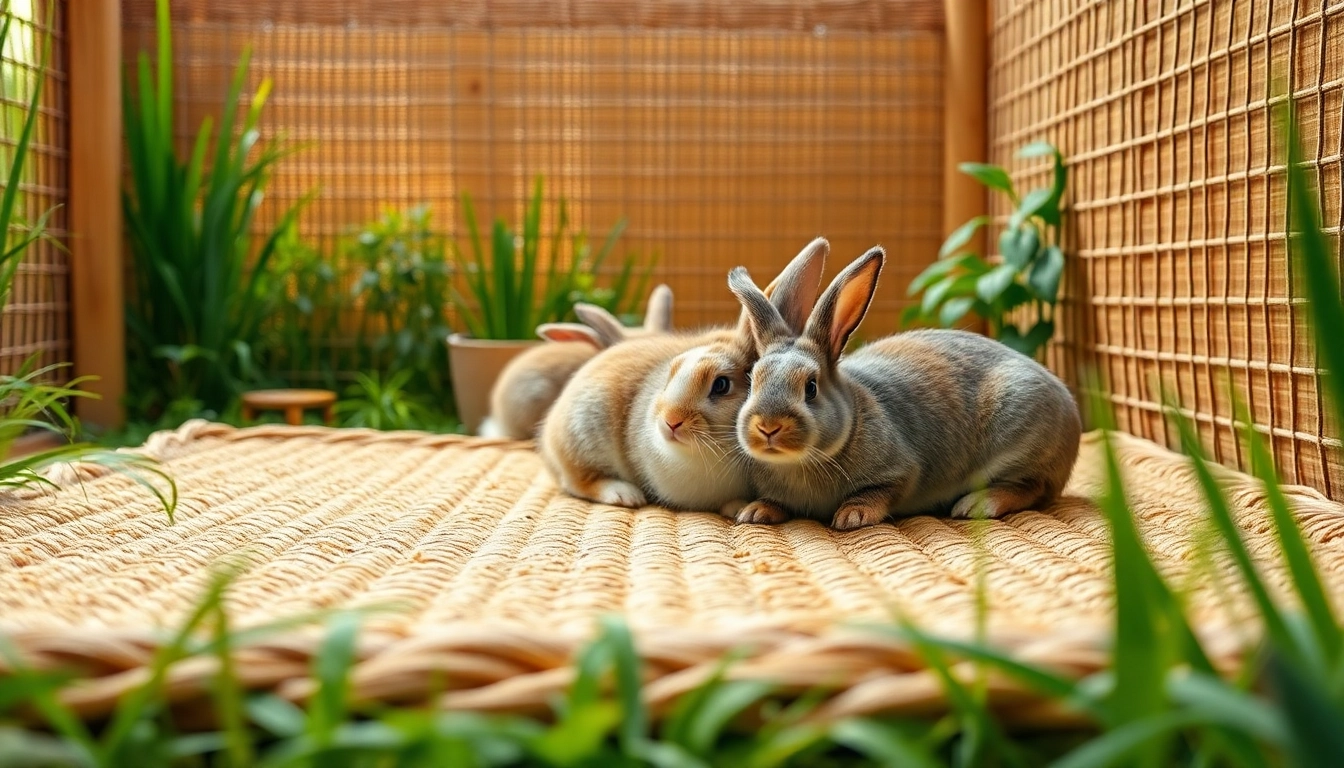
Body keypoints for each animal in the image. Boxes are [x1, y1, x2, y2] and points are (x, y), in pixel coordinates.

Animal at [540, 237, 830, 513]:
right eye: (672, 371)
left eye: (721, 385)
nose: (671, 421)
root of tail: (550, 433)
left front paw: (740, 507)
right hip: (584, 435)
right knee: (577, 481)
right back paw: (625, 494)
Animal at [725, 245, 1082, 530]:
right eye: (753, 380)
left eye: (811, 387)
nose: (767, 426)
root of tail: (1068, 407)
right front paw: (754, 512)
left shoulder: (900, 472)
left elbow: (881, 491)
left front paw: (852, 516)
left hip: (1024, 438)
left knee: (1032, 487)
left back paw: (976, 505)